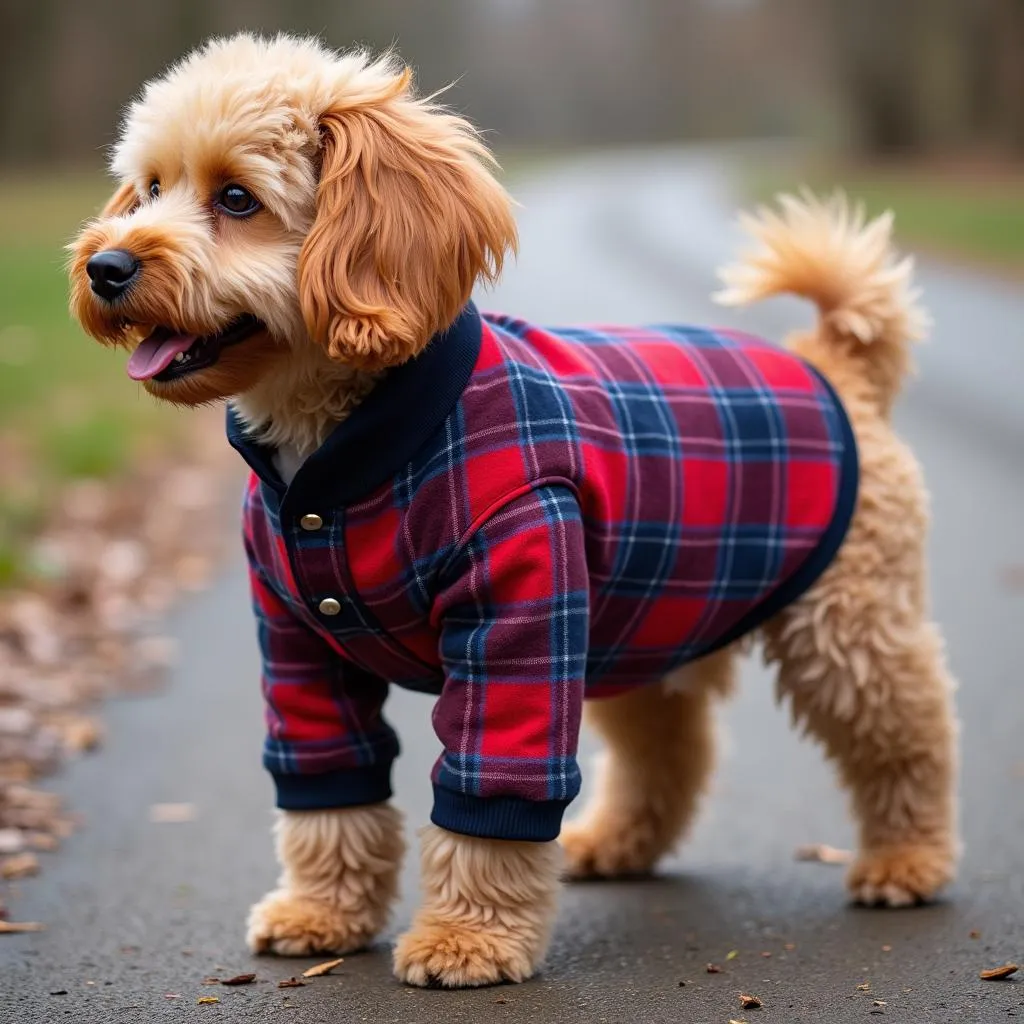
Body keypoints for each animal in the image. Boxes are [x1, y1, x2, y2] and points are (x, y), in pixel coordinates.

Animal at [68, 34, 954, 991]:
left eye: (237, 198)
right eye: (148, 189)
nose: (104, 267)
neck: (355, 453)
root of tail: (830, 362)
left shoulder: (519, 629)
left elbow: (492, 794)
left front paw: (468, 938)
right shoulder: (300, 642)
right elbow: (329, 792)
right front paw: (323, 913)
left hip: (848, 627)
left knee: (910, 734)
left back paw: (909, 860)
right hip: (639, 625)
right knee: (670, 749)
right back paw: (617, 842)